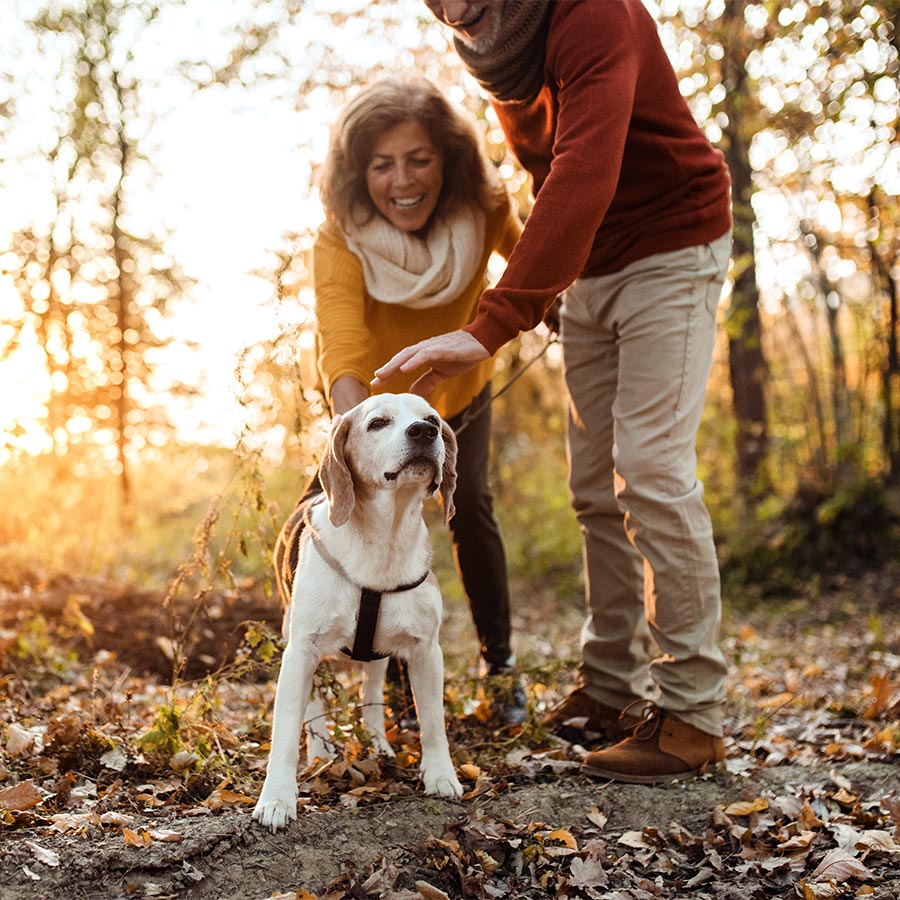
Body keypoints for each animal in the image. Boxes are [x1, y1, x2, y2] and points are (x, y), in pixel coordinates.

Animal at [253, 398, 464, 832]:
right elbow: (285, 734)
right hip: (301, 644)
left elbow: (434, 724)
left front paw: (440, 776)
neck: (384, 540)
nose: (424, 432)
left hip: (380, 655)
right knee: (314, 709)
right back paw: (319, 752)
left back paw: (378, 743)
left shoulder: (427, 651)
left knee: (371, 692)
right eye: (378, 422)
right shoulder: (300, 652)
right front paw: (277, 799)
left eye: (433, 419)